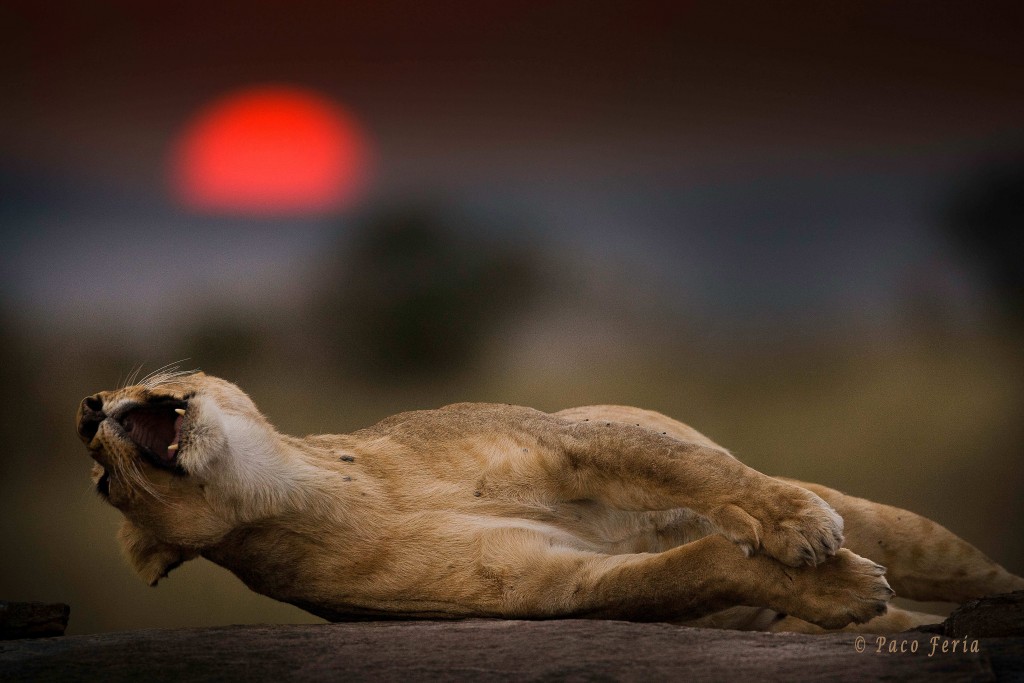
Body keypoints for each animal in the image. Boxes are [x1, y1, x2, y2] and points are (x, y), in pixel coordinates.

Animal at [74, 370, 1024, 634]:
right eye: (101, 482)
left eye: (129, 385)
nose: (86, 412)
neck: (309, 492)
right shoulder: (550, 586)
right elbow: (700, 565)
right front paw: (837, 586)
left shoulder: (561, 441)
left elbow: (708, 481)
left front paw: (794, 527)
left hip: (914, 531)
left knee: (984, 574)